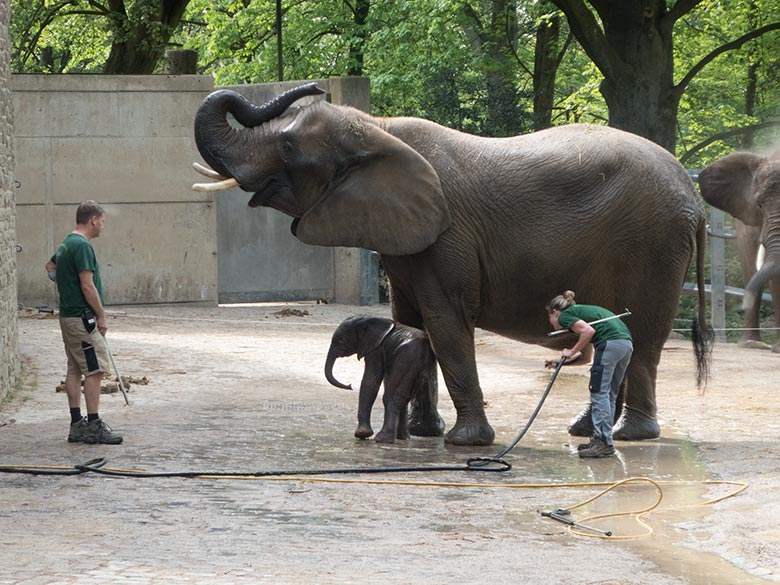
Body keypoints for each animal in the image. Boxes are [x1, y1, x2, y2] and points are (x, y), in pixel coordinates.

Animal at [324, 314, 444, 442]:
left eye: (341, 340)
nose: (350, 386)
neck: (369, 319)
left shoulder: (375, 349)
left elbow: (370, 380)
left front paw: (362, 434)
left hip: (407, 360)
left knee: (391, 397)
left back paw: (382, 439)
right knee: (404, 398)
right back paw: (403, 438)